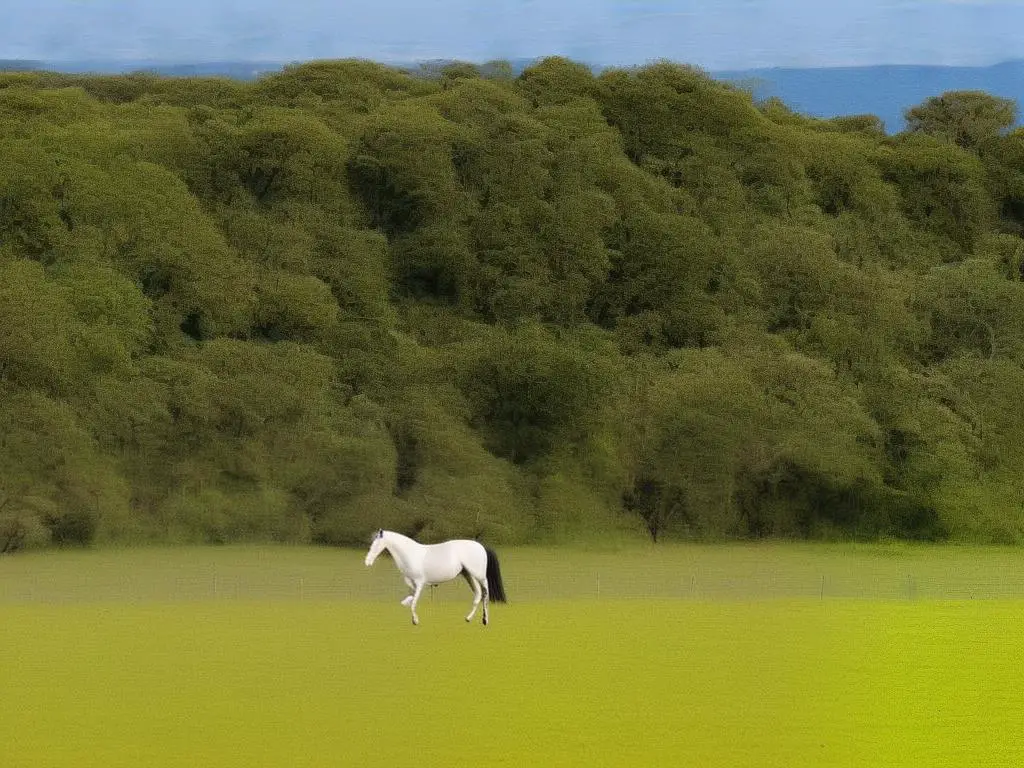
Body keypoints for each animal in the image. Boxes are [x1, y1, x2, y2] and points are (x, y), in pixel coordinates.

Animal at [368, 532, 507, 626]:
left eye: (375, 544)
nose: (368, 562)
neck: (411, 554)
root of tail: (481, 546)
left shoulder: (419, 583)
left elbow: (414, 602)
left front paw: (415, 620)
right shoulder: (411, 583)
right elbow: (411, 599)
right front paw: (406, 606)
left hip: (479, 576)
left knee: (485, 593)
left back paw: (485, 620)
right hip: (468, 575)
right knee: (478, 595)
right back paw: (468, 618)